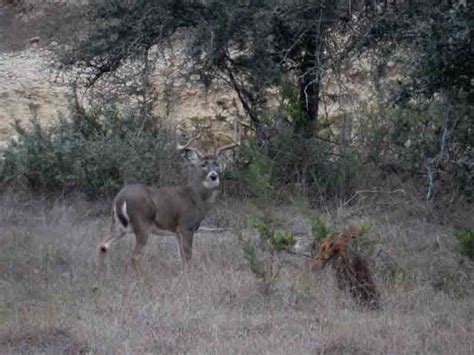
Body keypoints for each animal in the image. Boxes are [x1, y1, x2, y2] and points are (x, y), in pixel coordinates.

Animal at [96, 119, 241, 284]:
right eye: (203, 165)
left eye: (216, 163)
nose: (213, 176)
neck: (196, 198)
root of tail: (120, 199)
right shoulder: (186, 226)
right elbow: (188, 256)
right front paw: (189, 277)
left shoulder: (177, 231)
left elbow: (182, 256)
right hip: (142, 225)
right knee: (135, 256)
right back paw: (144, 280)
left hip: (118, 225)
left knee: (103, 245)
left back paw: (99, 277)